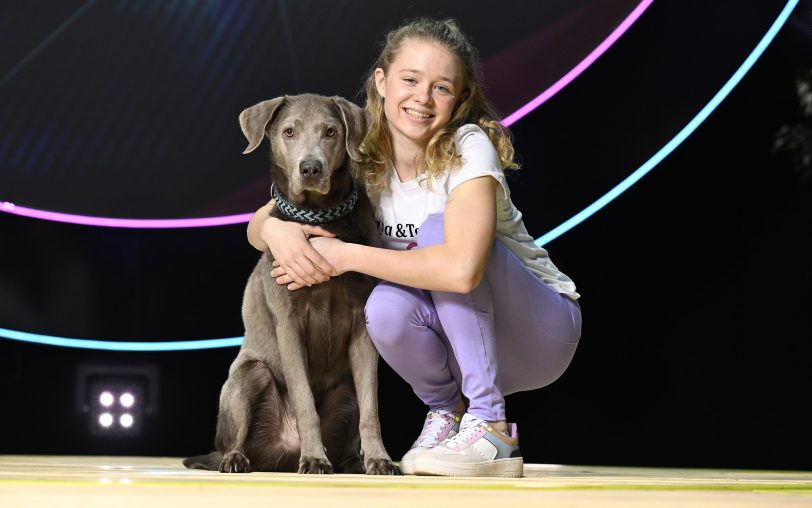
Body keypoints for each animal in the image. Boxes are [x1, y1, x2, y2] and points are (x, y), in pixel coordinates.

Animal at [184, 93, 400, 474]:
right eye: (289, 132)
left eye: (330, 131)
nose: (310, 168)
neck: (321, 218)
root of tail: (280, 456)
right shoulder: (289, 324)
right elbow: (303, 399)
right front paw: (314, 458)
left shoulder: (362, 329)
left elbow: (371, 408)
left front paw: (379, 459)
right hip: (248, 375)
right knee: (233, 438)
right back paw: (237, 459)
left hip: (345, 392)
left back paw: (351, 462)